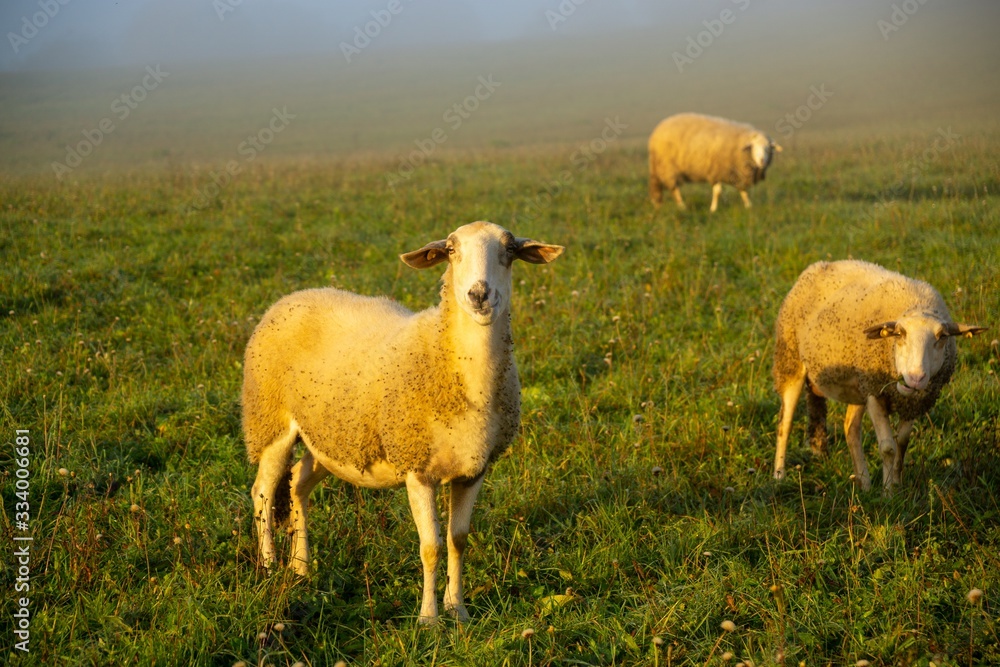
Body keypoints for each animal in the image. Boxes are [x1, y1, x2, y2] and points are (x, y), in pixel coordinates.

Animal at [242, 221, 563, 624]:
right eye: (451, 250)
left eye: (509, 250)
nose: (479, 295)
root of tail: (294, 296)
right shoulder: (417, 468)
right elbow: (431, 547)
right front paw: (429, 619)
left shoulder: (473, 470)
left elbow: (458, 541)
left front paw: (458, 611)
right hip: (270, 421)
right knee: (263, 492)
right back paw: (270, 567)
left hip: (329, 436)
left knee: (298, 482)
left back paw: (301, 569)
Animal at [648, 112, 781, 212]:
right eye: (753, 147)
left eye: (769, 148)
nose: (762, 161)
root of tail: (657, 129)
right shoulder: (716, 171)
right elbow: (718, 192)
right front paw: (713, 209)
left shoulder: (736, 173)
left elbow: (743, 190)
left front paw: (748, 206)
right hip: (667, 166)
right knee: (674, 188)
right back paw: (682, 206)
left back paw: (659, 204)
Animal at [772, 259, 986, 490]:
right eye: (899, 334)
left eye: (942, 337)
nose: (915, 378)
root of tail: (819, 265)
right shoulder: (875, 393)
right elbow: (887, 447)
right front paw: (888, 492)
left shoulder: (911, 402)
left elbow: (902, 444)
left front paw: (897, 484)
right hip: (791, 362)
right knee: (785, 424)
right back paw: (779, 475)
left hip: (859, 384)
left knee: (850, 428)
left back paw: (864, 483)